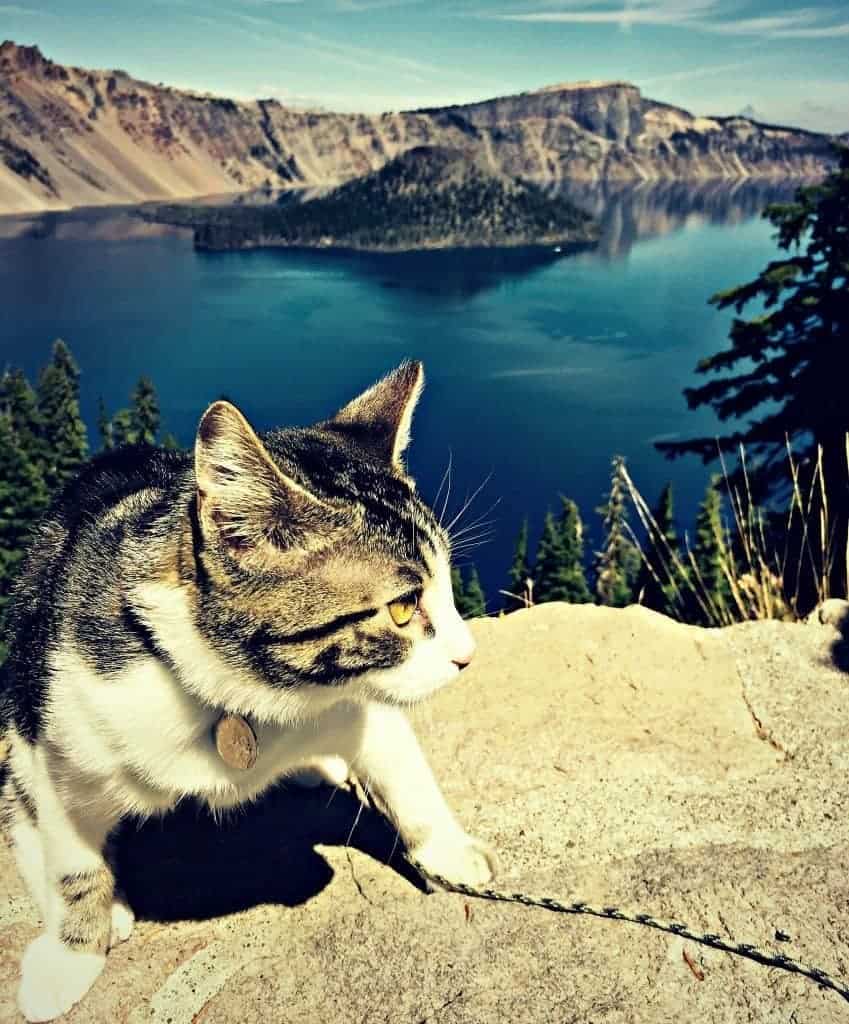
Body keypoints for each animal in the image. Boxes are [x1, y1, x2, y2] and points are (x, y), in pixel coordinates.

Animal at [0, 364, 493, 1019]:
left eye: (446, 588)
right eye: (402, 607)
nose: (468, 655)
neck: (252, 694)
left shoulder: (363, 700)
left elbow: (407, 773)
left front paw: (452, 852)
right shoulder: (59, 740)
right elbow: (73, 865)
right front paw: (69, 959)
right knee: (22, 810)